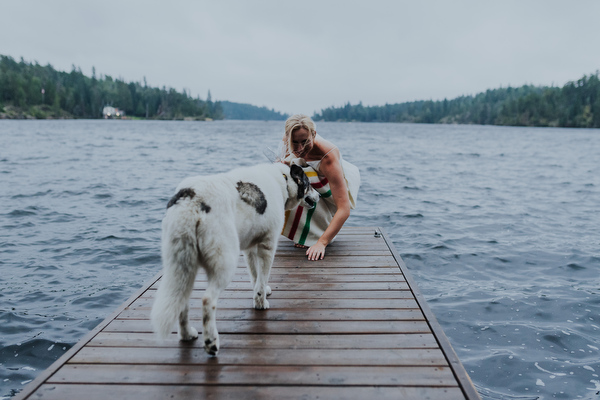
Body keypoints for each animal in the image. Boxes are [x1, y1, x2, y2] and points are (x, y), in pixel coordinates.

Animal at [150, 161, 318, 354]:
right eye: (309, 184)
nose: (319, 195)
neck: (281, 179)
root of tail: (191, 202)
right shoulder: (268, 245)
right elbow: (262, 278)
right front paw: (261, 302)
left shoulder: (250, 248)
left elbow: (255, 276)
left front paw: (259, 293)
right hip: (225, 263)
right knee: (207, 300)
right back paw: (211, 342)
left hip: (183, 266)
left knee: (181, 299)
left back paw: (186, 334)